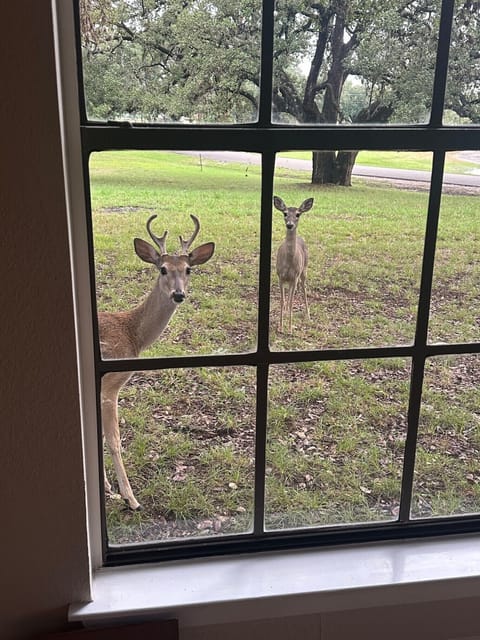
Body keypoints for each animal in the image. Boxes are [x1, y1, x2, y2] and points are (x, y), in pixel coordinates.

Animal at [98, 215, 215, 510]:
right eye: (162, 269)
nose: (178, 294)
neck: (132, 335)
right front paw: (130, 498)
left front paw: (106, 486)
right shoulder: (109, 385)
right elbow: (114, 440)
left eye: (188, 269)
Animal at [274, 195, 316, 332]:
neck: (288, 263)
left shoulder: (295, 276)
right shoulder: (280, 276)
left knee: (303, 288)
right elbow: (282, 300)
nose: (290, 225)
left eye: (298, 214)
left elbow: (292, 301)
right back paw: (287, 313)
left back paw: (308, 315)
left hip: (304, 270)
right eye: (285, 213)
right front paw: (280, 327)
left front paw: (290, 329)